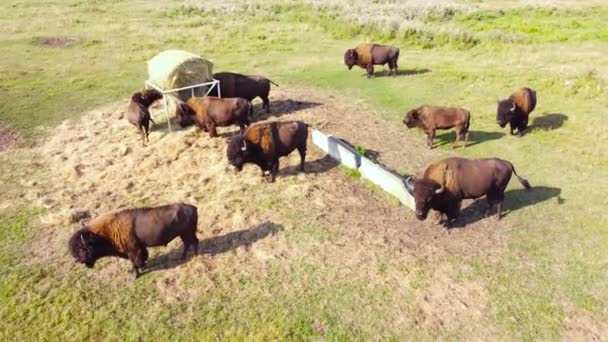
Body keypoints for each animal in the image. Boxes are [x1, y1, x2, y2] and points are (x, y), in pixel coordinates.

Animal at [68, 204, 197, 280]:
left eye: (82, 249)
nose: (80, 261)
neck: (103, 234)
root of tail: (192, 208)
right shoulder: (139, 247)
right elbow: (143, 257)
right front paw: (144, 266)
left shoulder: (132, 251)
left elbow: (135, 263)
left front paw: (135, 275)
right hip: (186, 234)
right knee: (191, 242)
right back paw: (188, 255)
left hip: (186, 233)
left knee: (191, 243)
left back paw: (189, 257)